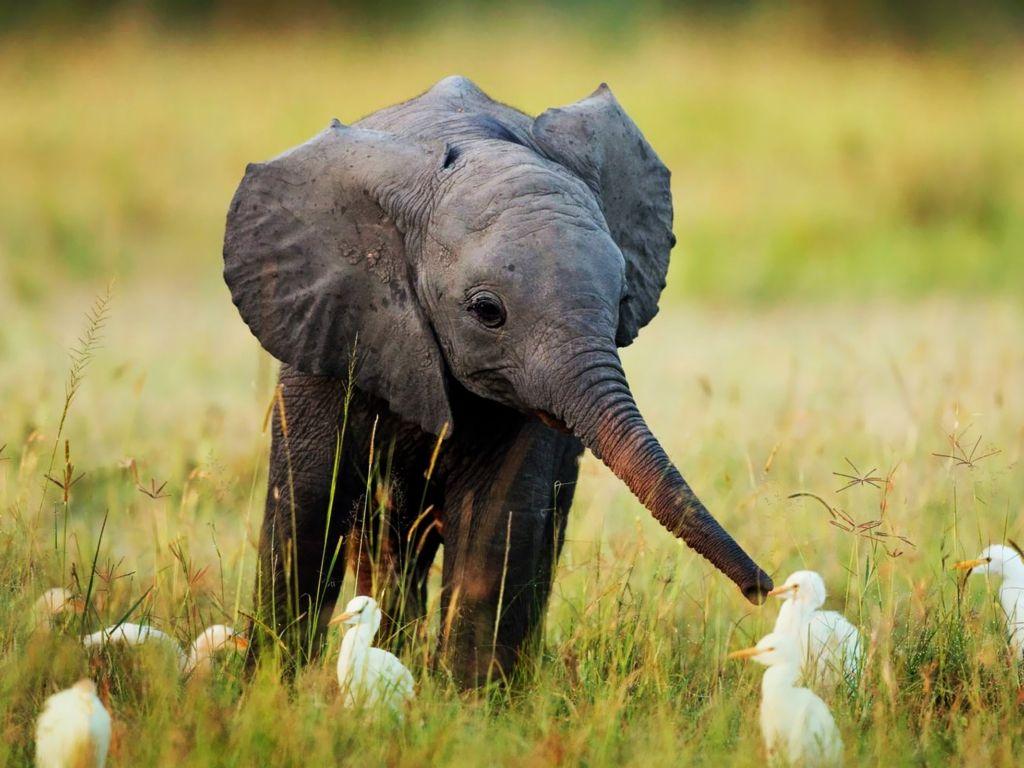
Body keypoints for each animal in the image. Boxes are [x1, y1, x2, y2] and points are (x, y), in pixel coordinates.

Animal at [223, 75, 772, 686]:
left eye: (623, 298)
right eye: (488, 311)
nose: (762, 589)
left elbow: (498, 522)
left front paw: (472, 702)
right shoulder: (328, 328)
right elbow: (306, 511)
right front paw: (268, 690)